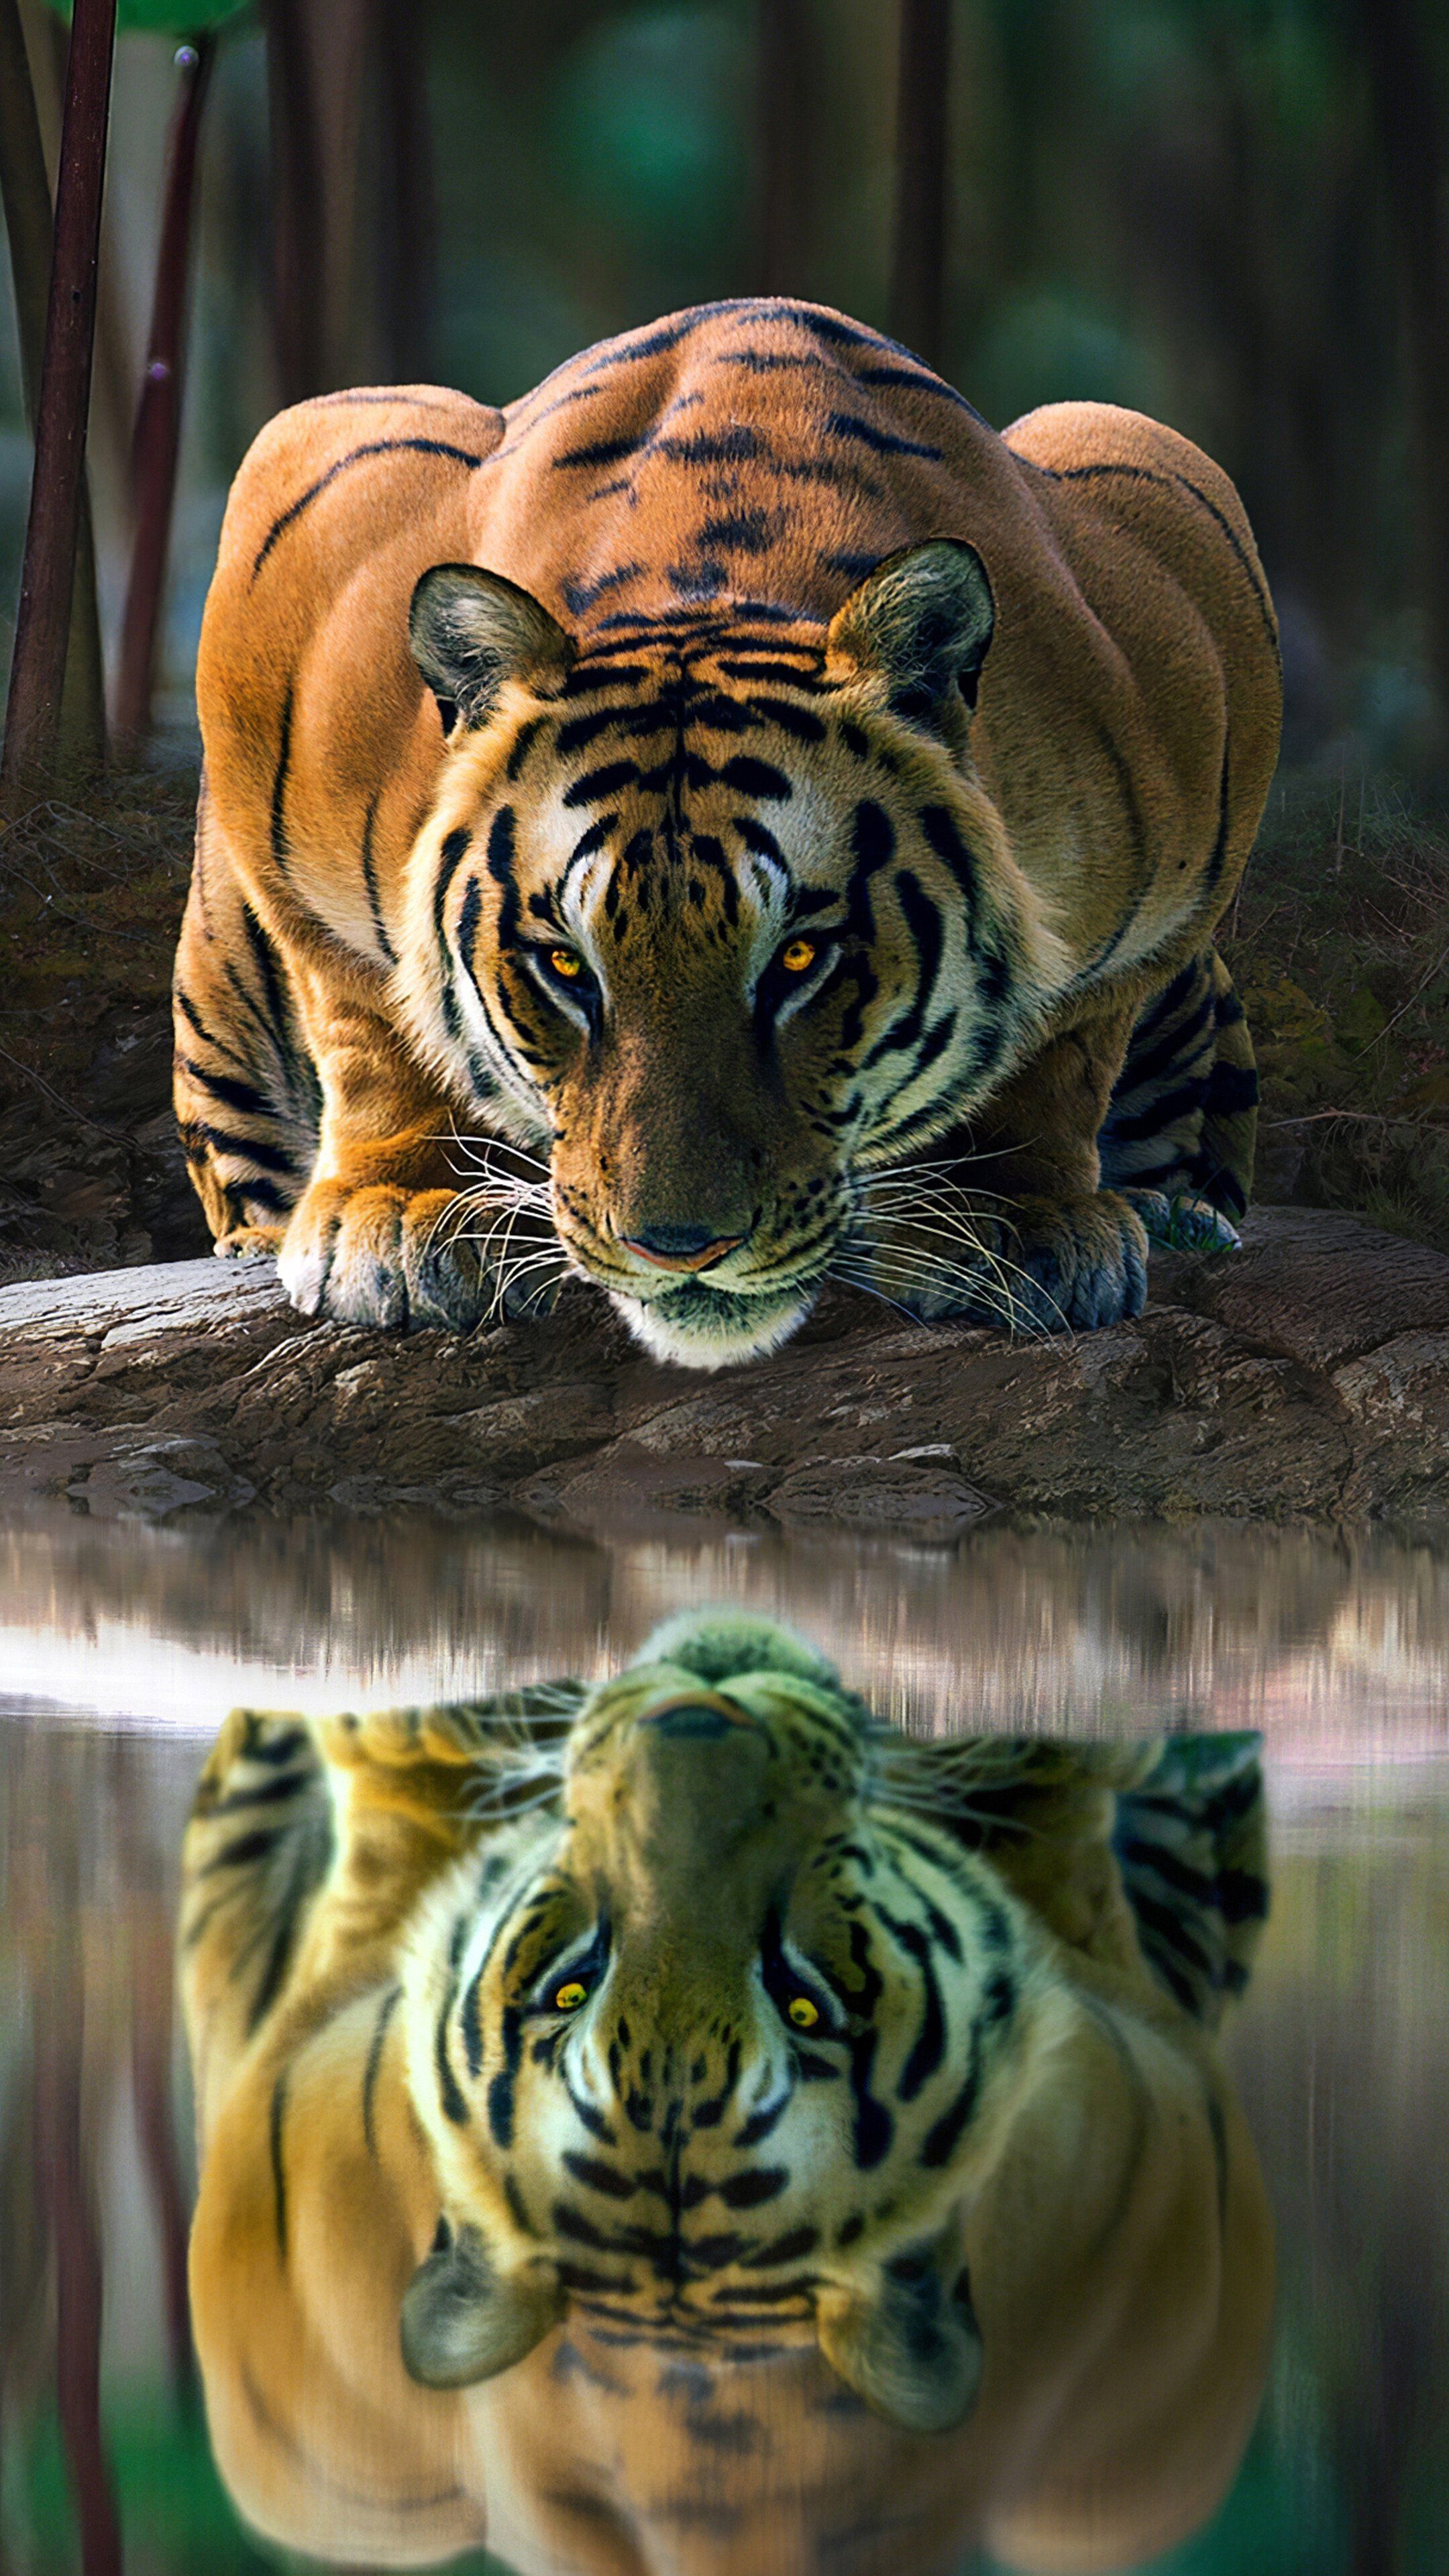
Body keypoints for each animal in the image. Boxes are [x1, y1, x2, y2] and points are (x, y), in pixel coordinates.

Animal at [171, 290, 1273, 1370]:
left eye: (798, 960)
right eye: (565, 967)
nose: (678, 1248)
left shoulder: (1185, 572)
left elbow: (1065, 1043)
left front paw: (1011, 1216)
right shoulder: (307, 505)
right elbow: (368, 1012)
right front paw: (408, 1211)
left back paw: (1178, 1215)